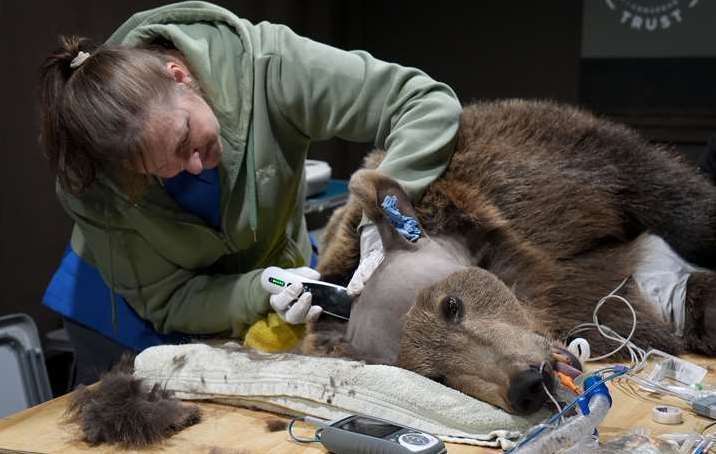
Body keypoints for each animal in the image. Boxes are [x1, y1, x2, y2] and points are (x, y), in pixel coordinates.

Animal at [300, 98, 716, 414]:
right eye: (437, 377)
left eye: (452, 305)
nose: (526, 385)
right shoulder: (609, 297)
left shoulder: (557, 184)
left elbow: (674, 200)